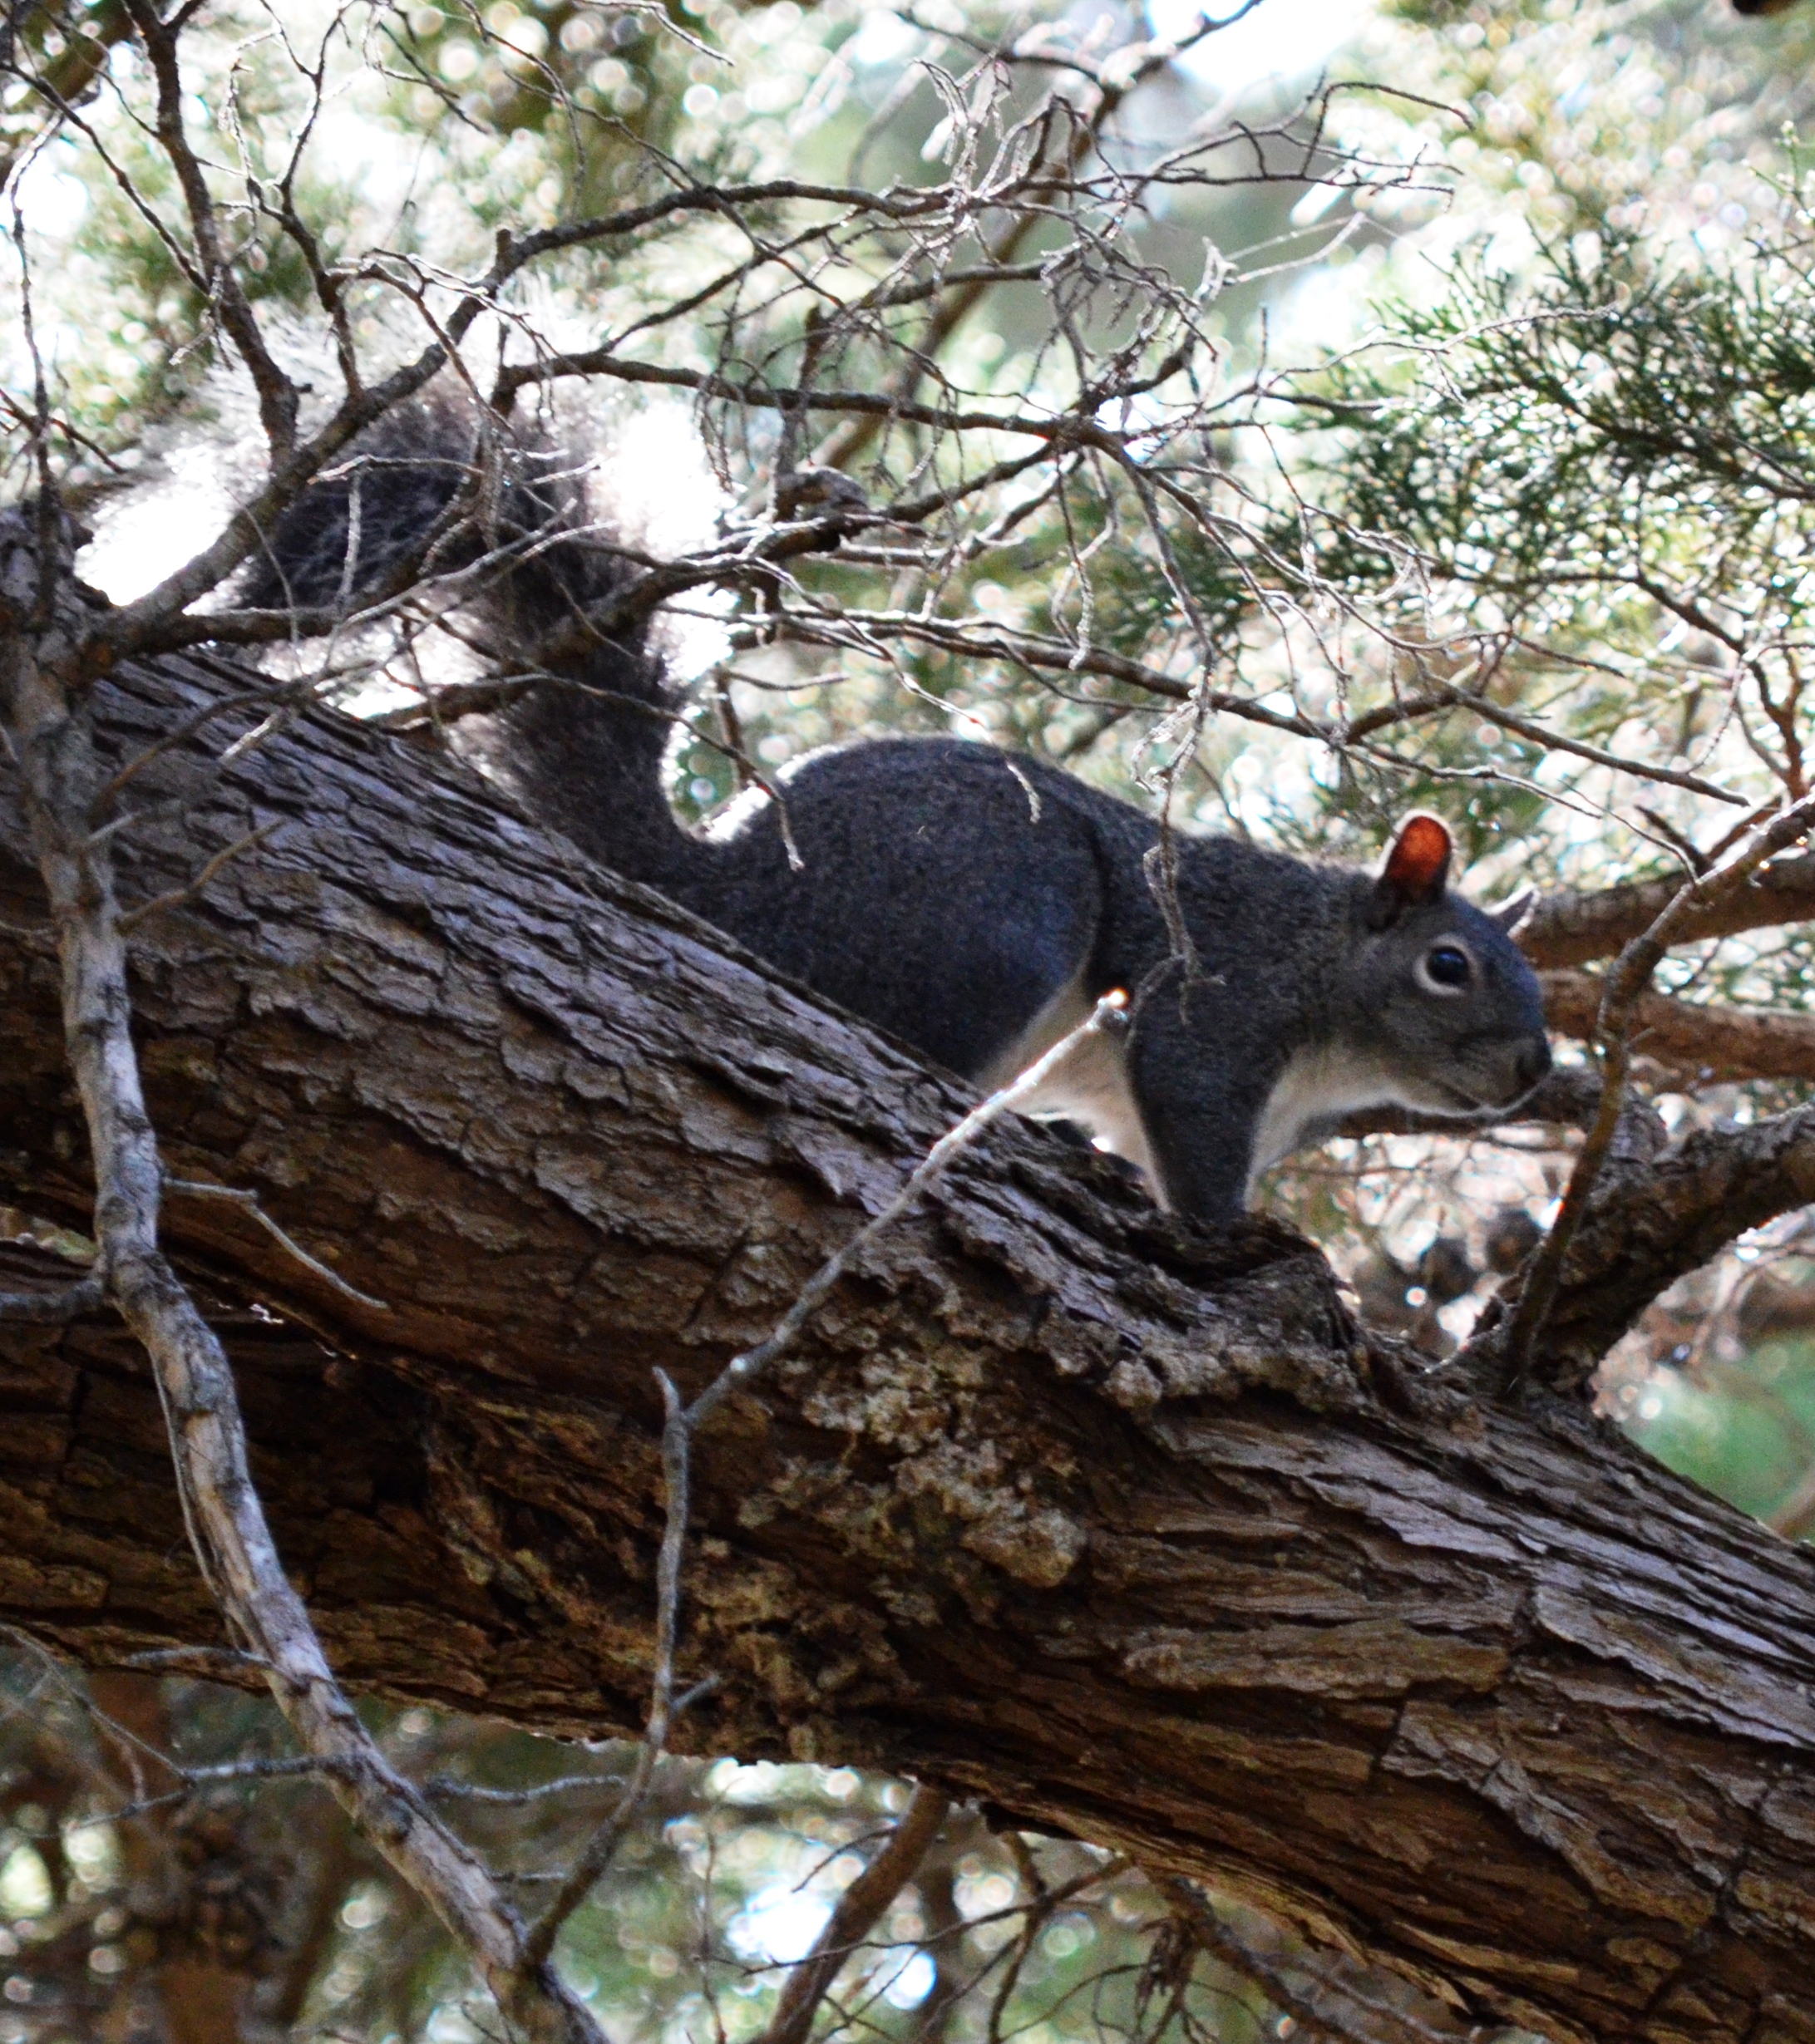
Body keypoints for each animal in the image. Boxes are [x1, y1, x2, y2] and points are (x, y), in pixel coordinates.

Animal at [242, 405, 1553, 1224]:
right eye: (1448, 965)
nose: (1535, 1072)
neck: (1323, 973)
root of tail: (734, 885)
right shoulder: (1214, 1013)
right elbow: (1192, 1145)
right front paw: (1254, 1250)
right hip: (1000, 909)